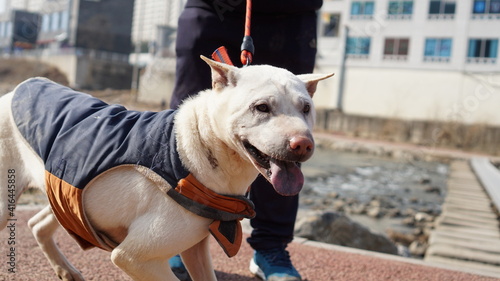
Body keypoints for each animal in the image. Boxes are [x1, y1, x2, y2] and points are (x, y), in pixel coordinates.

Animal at [0, 55, 336, 278]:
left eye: (306, 108)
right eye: (261, 108)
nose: (303, 145)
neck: (196, 148)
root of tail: (18, 88)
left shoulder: (196, 249)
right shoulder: (134, 257)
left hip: (67, 193)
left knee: (39, 223)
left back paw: (66, 270)